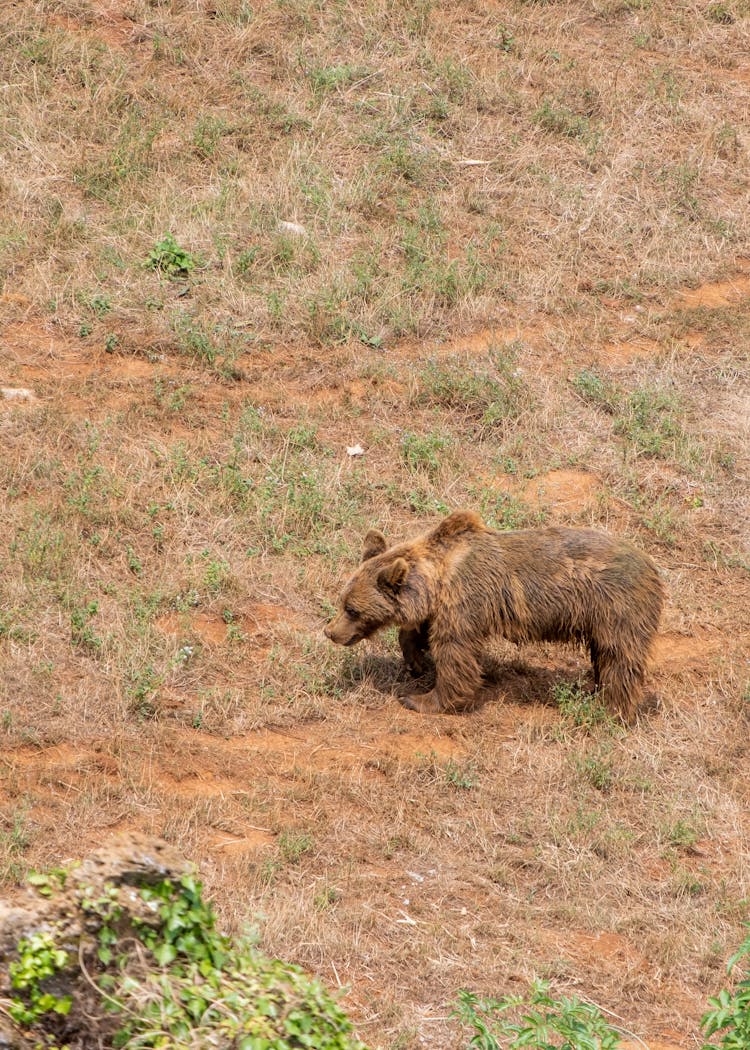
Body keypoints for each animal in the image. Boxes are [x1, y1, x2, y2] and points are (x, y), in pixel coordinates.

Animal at [323, 508, 663, 722]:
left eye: (352, 609)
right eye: (341, 600)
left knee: (619, 659)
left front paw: (421, 699)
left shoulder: (465, 602)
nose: (330, 631)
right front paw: (416, 661)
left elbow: (455, 654)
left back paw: (610, 709)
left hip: (616, 607)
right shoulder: (440, 607)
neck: (439, 577)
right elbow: (418, 632)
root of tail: (652, 566)